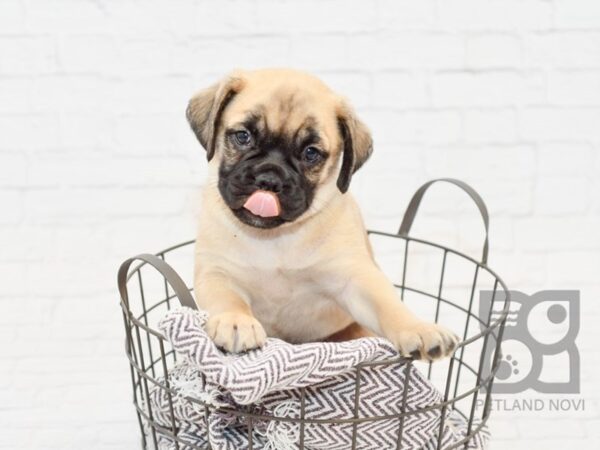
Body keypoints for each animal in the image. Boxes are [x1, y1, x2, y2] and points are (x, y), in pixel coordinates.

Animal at [188, 68, 460, 360]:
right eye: (243, 137)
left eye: (311, 153)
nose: (269, 179)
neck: (275, 237)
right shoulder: (216, 273)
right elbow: (228, 299)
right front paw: (236, 321)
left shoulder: (355, 280)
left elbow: (387, 304)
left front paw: (418, 328)